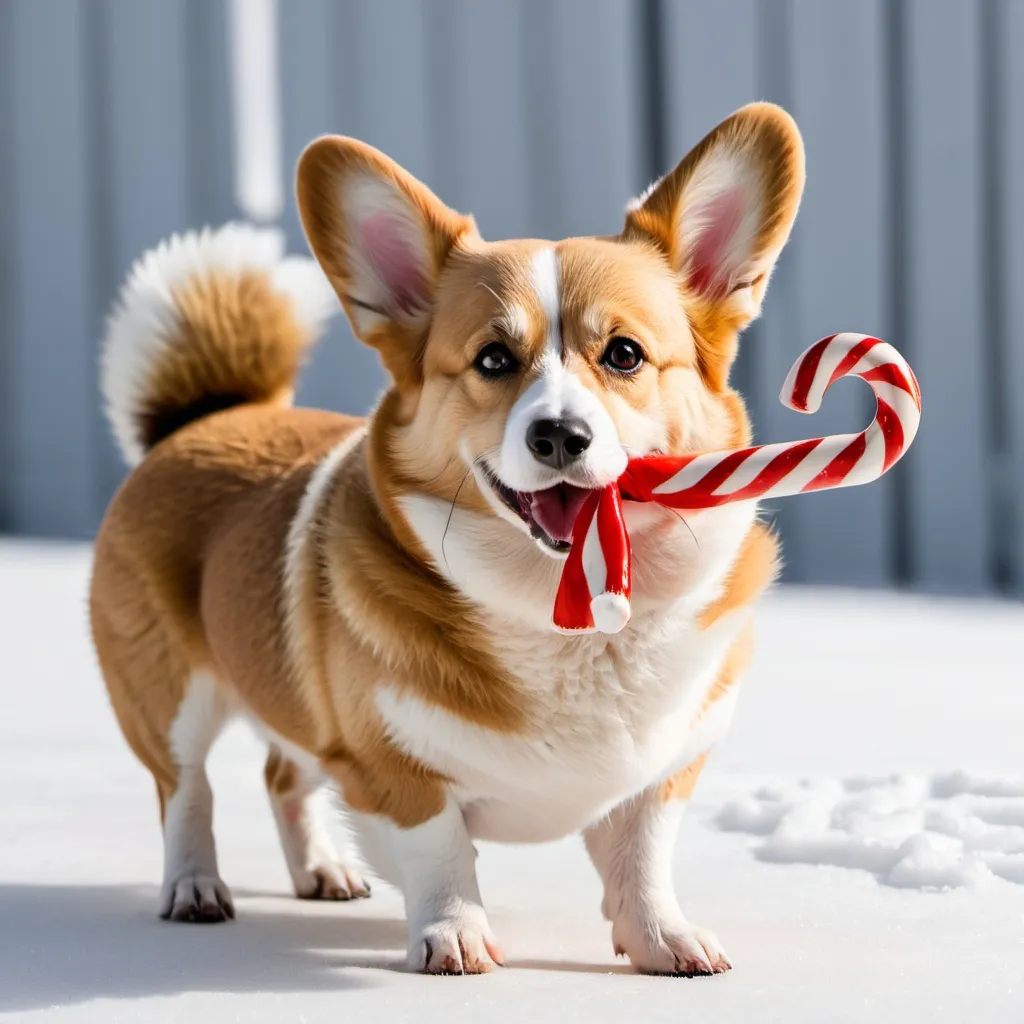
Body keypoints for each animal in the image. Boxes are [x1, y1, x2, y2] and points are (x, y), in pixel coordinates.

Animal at [92, 103, 802, 974]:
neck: (563, 620)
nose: (558, 436)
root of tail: (203, 418)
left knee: (282, 775)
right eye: (493, 359)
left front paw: (663, 940)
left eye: (625, 354)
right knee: (187, 789)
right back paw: (195, 888)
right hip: (172, 696)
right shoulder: (391, 764)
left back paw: (323, 872)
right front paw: (454, 937)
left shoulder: (664, 771)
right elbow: (442, 851)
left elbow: (643, 857)